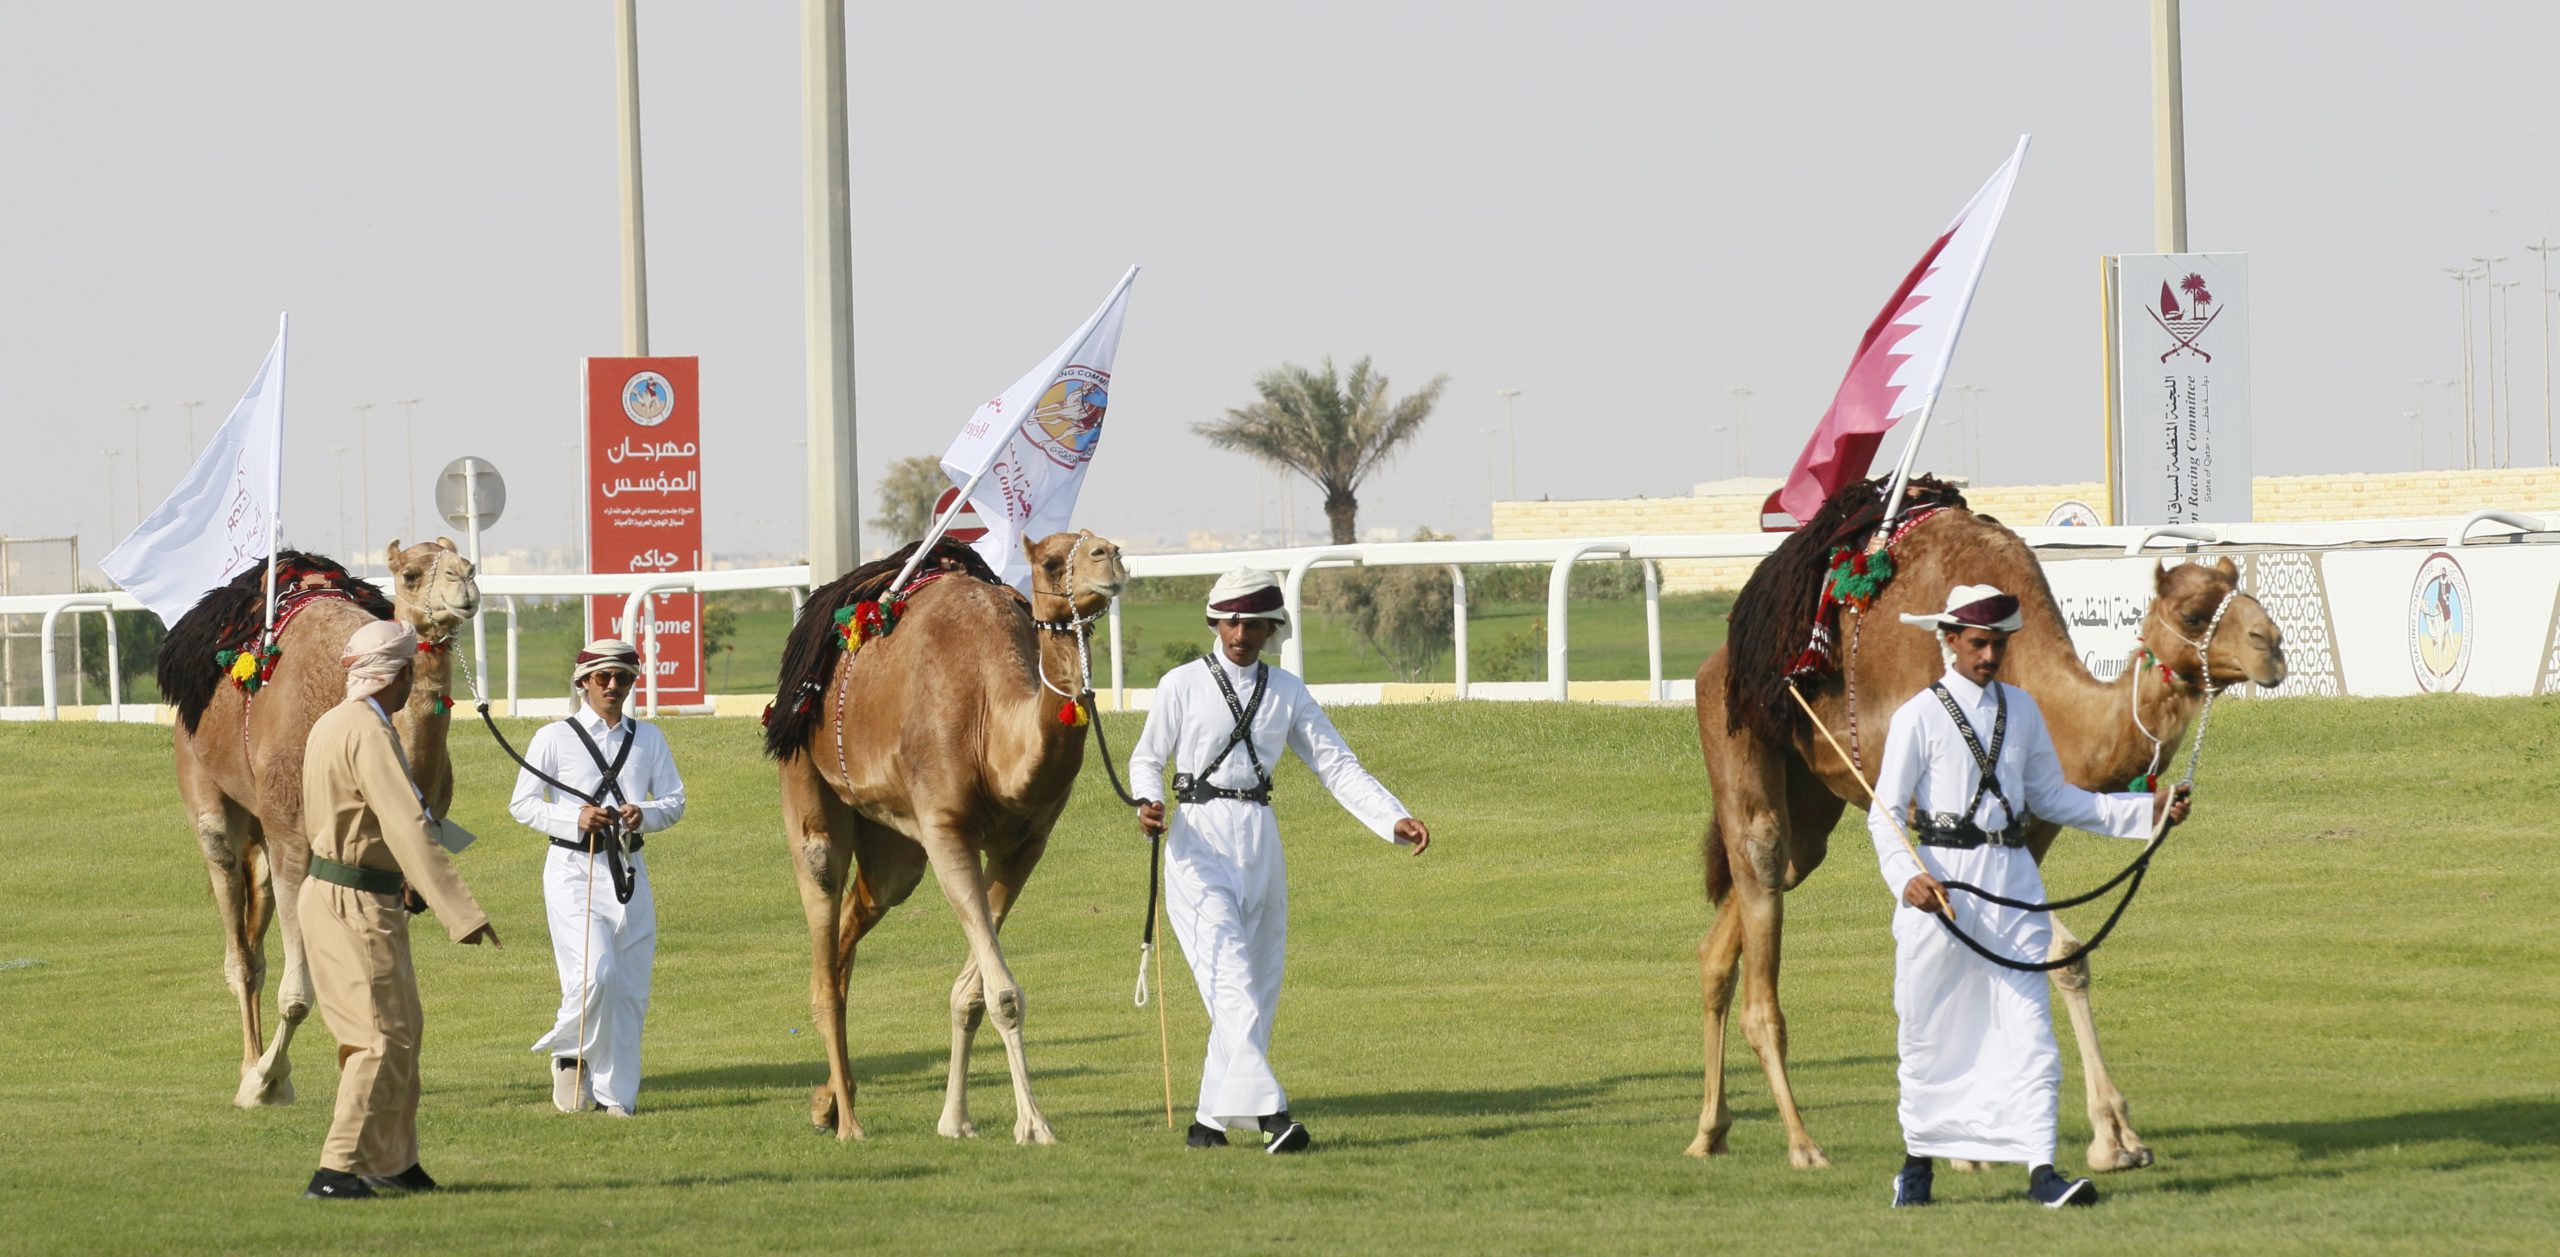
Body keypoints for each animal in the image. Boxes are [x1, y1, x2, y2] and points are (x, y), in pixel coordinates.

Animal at [163, 535, 481, 1105]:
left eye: (466, 561)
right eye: (411, 573)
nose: (463, 583)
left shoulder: (391, 863)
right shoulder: (293, 838)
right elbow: (298, 992)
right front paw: (268, 1080)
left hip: (263, 831)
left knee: (256, 932)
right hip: (210, 793)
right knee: (238, 946)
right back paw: (251, 1072)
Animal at [768, 527, 1131, 1146]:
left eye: (1105, 544)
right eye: (1051, 560)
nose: (1109, 557)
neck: (993, 724)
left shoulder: (1026, 843)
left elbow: (973, 993)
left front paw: (955, 1119)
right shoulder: (945, 827)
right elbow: (1003, 992)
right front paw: (1034, 1124)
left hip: (894, 846)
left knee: (855, 925)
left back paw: (827, 1103)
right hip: (805, 775)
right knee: (821, 899)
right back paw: (849, 1124)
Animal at [1689, 501, 2293, 1172]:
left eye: (2246, 596)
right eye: (2193, 614)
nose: (2272, 646)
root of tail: (1717, 660)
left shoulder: (2032, 827)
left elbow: (2062, 957)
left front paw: (2116, 1137)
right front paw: (1969, 1148)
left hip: (1812, 796)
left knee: (1742, 919)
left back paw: (1710, 1130)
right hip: (1737, 730)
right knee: (1761, 860)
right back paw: (1802, 1143)